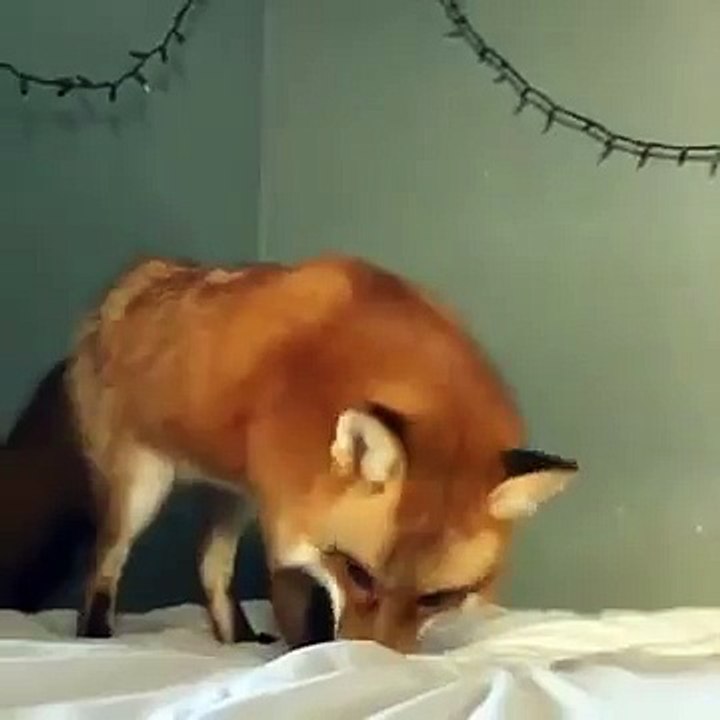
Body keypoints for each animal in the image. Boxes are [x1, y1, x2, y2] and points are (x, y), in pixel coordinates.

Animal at [66, 253, 578, 653]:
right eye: (357, 573)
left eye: (435, 599)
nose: (368, 661)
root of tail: (143, 274)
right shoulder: (288, 531)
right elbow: (302, 617)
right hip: (142, 490)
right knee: (103, 564)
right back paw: (95, 635)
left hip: (236, 498)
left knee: (210, 565)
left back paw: (236, 639)